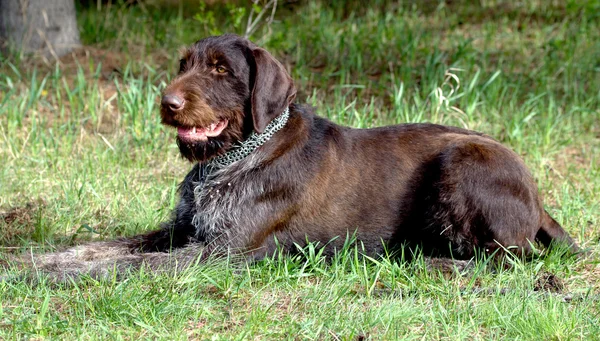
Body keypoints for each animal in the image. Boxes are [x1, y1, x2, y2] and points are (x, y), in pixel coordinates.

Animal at [2, 33, 580, 280]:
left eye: (220, 69)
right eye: (185, 64)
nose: (167, 104)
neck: (230, 159)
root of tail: (538, 196)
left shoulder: (219, 252)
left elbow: (119, 265)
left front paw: (42, 279)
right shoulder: (181, 232)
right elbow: (94, 248)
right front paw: (30, 261)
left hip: (461, 162)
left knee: (508, 256)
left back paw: (430, 262)